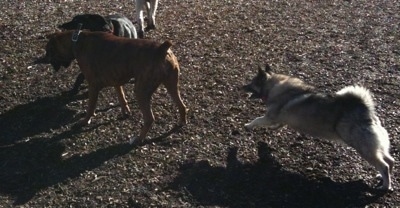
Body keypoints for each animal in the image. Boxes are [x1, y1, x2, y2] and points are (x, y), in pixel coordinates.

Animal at [36, 30, 189, 145]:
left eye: (48, 51)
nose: (46, 59)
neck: (76, 40)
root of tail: (162, 49)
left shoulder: (93, 86)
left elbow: (90, 107)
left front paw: (85, 121)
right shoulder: (117, 81)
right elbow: (122, 98)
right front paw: (125, 112)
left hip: (141, 91)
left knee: (149, 118)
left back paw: (138, 139)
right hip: (171, 85)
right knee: (182, 106)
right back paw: (181, 123)